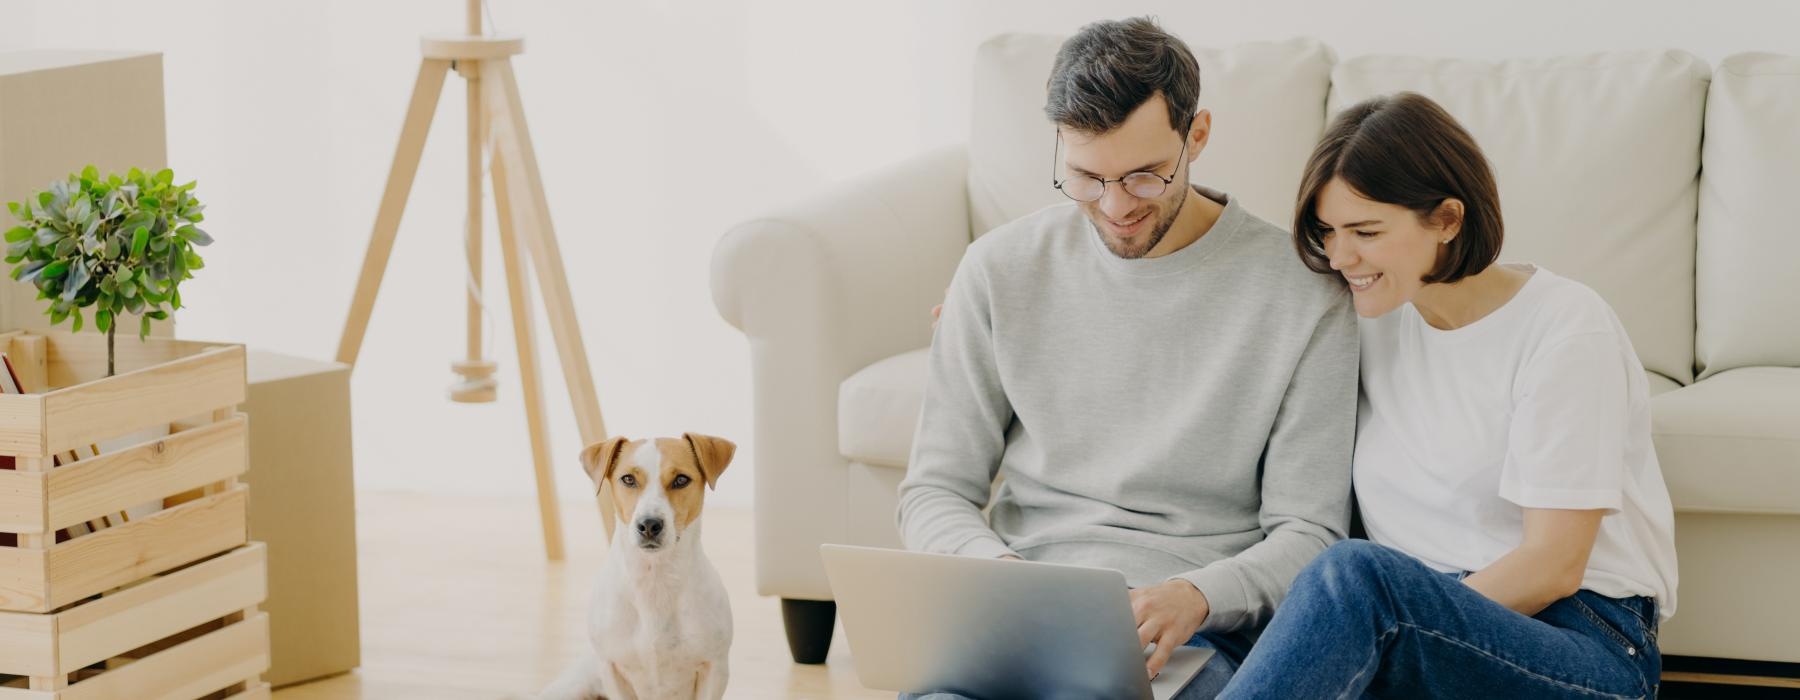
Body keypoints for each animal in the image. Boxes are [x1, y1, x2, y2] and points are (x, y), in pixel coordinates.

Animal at [529, 430, 734, 698]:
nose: (649, 524)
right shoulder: (611, 668)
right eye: (628, 479)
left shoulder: (715, 668)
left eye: (681, 479)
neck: (655, 580)